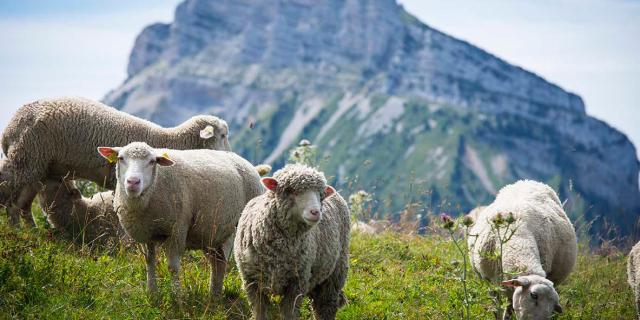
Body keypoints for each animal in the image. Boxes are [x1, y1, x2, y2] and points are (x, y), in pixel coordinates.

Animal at [0, 96, 230, 226]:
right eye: (223, 135)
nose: (231, 155)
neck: (169, 140)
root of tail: (9, 128)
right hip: (26, 159)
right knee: (12, 203)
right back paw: (17, 235)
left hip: (39, 167)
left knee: (23, 206)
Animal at [97, 141, 262, 296]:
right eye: (120, 158)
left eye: (152, 161)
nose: (133, 182)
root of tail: (242, 160)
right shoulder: (146, 232)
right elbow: (149, 262)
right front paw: (152, 293)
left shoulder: (178, 229)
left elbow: (173, 267)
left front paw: (177, 296)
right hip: (210, 233)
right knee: (217, 263)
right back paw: (214, 294)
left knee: (224, 261)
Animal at [234, 164, 348, 318]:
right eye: (290, 190)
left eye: (321, 195)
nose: (316, 212)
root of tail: (337, 193)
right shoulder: (252, 282)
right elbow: (259, 312)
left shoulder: (296, 284)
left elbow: (289, 313)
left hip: (335, 273)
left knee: (325, 306)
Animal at [468, 180, 576, 320]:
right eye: (533, 295)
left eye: (553, 308)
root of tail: (530, 181)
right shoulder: (490, 282)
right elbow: (497, 308)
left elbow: (509, 308)